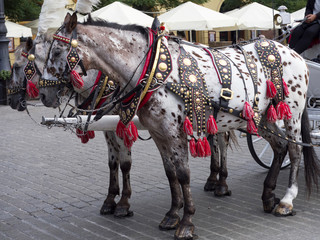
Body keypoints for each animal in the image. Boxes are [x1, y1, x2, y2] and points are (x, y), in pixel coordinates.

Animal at [40, 12, 320, 239]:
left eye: (56, 52)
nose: (43, 96)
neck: (153, 69)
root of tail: (290, 51)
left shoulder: (175, 133)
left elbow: (183, 174)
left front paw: (186, 222)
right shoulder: (158, 133)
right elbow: (170, 174)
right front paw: (172, 214)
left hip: (292, 112)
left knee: (295, 150)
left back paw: (286, 200)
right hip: (262, 118)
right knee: (280, 146)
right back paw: (268, 196)